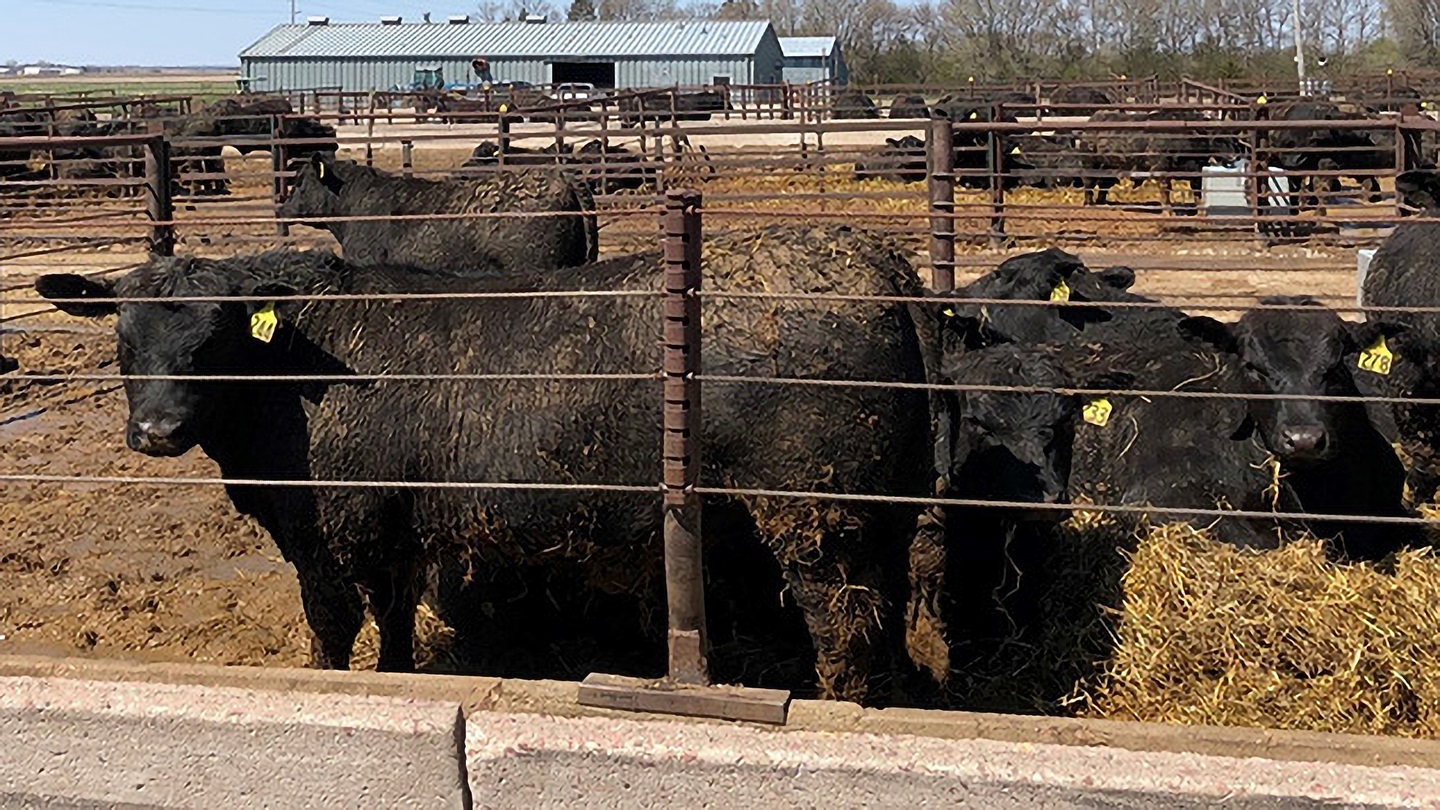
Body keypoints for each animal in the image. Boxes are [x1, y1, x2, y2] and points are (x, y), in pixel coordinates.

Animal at [35, 227, 934, 703]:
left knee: (843, 623)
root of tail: (883, 266)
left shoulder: (330, 533)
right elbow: (395, 621)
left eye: (215, 337)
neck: (293, 371)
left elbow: (333, 628)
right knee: (885, 613)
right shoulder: (394, 531)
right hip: (883, 515)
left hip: (814, 518)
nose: (156, 430)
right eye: (123, 335)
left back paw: (838, 701)